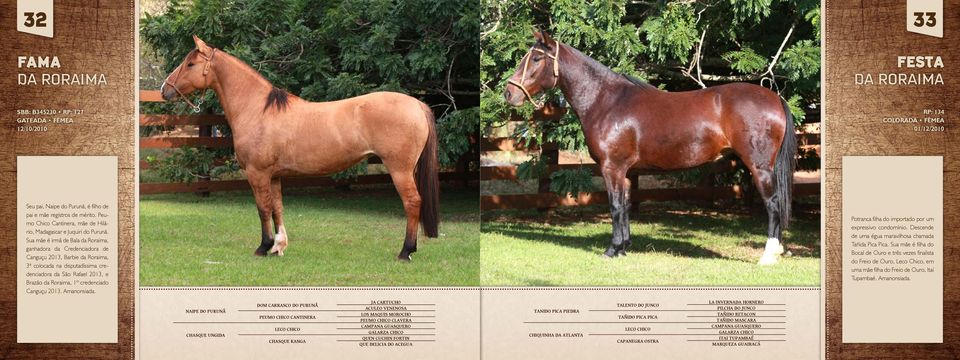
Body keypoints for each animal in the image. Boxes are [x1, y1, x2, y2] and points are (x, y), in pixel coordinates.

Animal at [160, 35, 438, 262]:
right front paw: (278, 246)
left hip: (399, 170)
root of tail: (416, 104)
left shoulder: (257, 173)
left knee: (412, 203)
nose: (165, 90)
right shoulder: (274, 175)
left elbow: (263, 209)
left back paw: (405, 251)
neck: (259, 109)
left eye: (190, 64)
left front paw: (263, 247)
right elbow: (277, 208)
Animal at [506, 31, 800, 266]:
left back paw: (768, 256)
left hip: (759, 167)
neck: (606, 101)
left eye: (536, 59)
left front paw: (611, 250)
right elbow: (625, 206)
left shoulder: (611, 168)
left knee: (772, 204)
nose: (509, 93)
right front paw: (623, 248)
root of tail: (775, 98)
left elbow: (614, 206)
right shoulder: (624, 171)